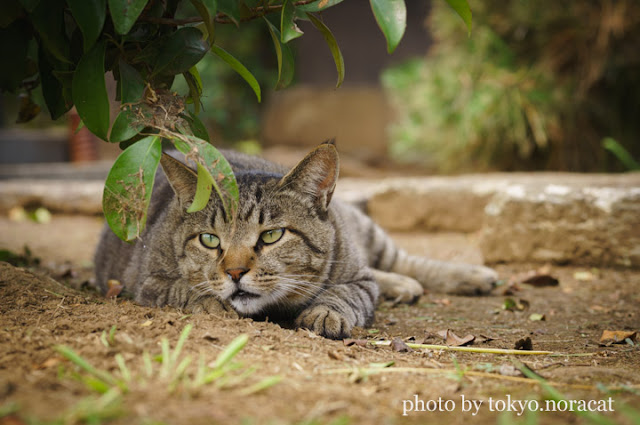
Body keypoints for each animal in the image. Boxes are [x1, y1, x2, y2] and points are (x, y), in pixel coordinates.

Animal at [94, 142, 496, 338]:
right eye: (209, 240)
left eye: (272, 235)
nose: (235, 273)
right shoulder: (147, 281)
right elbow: (182, 289)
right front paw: (210, 303)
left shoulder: (358, 278)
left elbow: (346, 292)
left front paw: (324, 312)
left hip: (364, 232)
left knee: (399, 260)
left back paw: (472, 276)